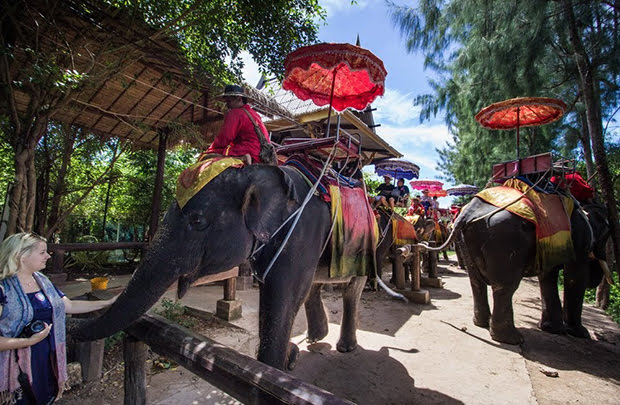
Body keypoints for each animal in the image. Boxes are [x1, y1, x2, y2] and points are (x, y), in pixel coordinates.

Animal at [68, 163, 398, 370]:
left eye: (197, 220)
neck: (257, 172)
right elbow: (284, 292)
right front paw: (289, 358)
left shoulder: (303, 230)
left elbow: (283, 293)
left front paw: (275, 367)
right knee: (313, 286)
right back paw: (317, 338)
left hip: (369, 246)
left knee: (351, 289)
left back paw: (344, 347)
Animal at [422, 194, 612, 342]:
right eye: (606, 232)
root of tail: (468, 211)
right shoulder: (579, 237)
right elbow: (574, 276)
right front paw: (580, 333)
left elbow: (548, 275)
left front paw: (553, 329)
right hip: (504, 239)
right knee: (505, 286)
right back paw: (512, 339)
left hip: (469, 237)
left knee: (476, 281)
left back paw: (482, 324)